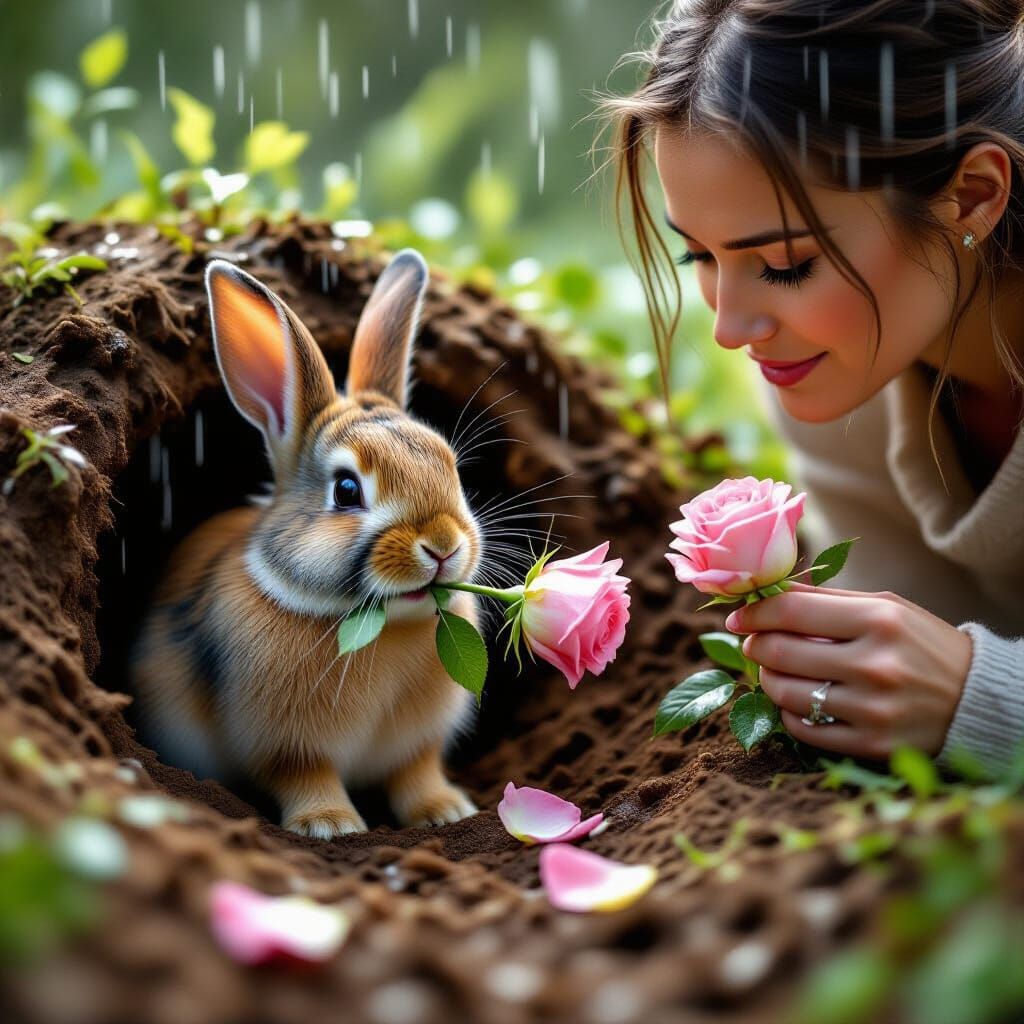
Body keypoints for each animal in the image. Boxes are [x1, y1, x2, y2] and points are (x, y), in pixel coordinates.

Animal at [128, 249, 484, 838]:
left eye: (450, 467)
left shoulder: (417, 744)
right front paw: (330, 825)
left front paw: (447, 811)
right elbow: (305, 775)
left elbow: (416, 773)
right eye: (346, 490)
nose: (442, 545)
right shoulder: (286, 746)